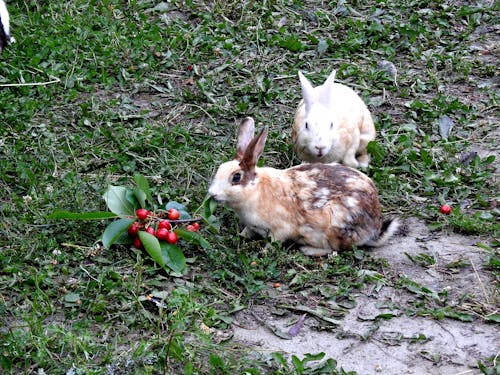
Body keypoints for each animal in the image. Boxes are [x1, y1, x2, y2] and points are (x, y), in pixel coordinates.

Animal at [208, 118, 398, 258]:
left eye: (236, 177)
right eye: (219, 169)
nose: (212, 194)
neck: (255, 190)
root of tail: (374, 227)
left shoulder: (280, 229)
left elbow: (274, 241)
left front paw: (264, 252)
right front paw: (240, 236)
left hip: (333, 227)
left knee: (334, 249)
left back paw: (307, 249)